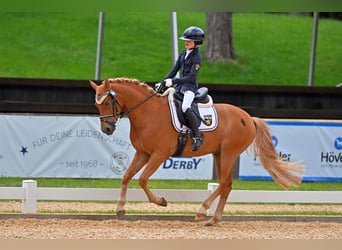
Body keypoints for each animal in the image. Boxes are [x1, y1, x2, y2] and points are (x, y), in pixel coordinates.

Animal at [90, 77, 304, 226]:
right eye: (97, 105)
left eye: (107, 103)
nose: (106, 129)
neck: (147, 112)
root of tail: (249, 118)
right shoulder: (142, 153)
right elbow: (126, 176)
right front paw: (120, 209)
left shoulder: (159, 155)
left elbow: (142, 179)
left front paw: (161, 202)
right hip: (219, 154)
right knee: (226, 185)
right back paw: (213, 219)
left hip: (229, 153)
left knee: (224, 183)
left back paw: (202, 210)